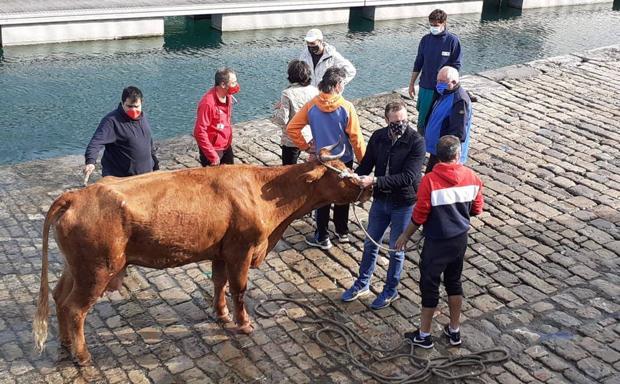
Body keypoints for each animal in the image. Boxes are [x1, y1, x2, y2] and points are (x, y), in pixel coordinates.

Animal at [34, 148, 370, 364]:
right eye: (342, 174)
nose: (369, 187)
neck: (265, 194)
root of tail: (76, 195)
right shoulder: (241, 250)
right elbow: (239, 289)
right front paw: (243, 324)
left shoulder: (220, 251)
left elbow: (219, 283)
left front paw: (221, 315)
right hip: (98, 269)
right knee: (75, 308)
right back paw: (82, 355)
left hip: (77, 267)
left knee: (59, 297)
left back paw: (65, 344)